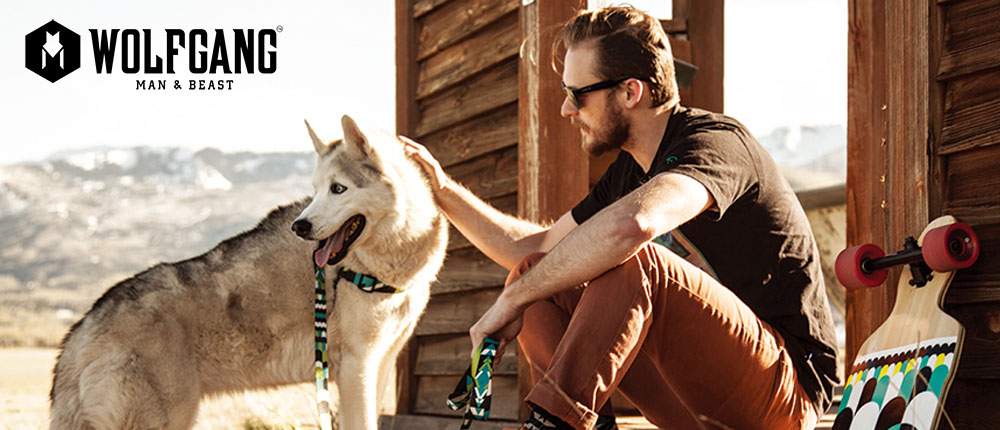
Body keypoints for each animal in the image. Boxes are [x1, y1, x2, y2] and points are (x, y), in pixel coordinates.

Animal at [49, 115, 450, 430]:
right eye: (316, 190)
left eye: (338, 189)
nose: (300, 226)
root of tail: (80, 330)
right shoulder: (356, 367)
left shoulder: (380, 362)